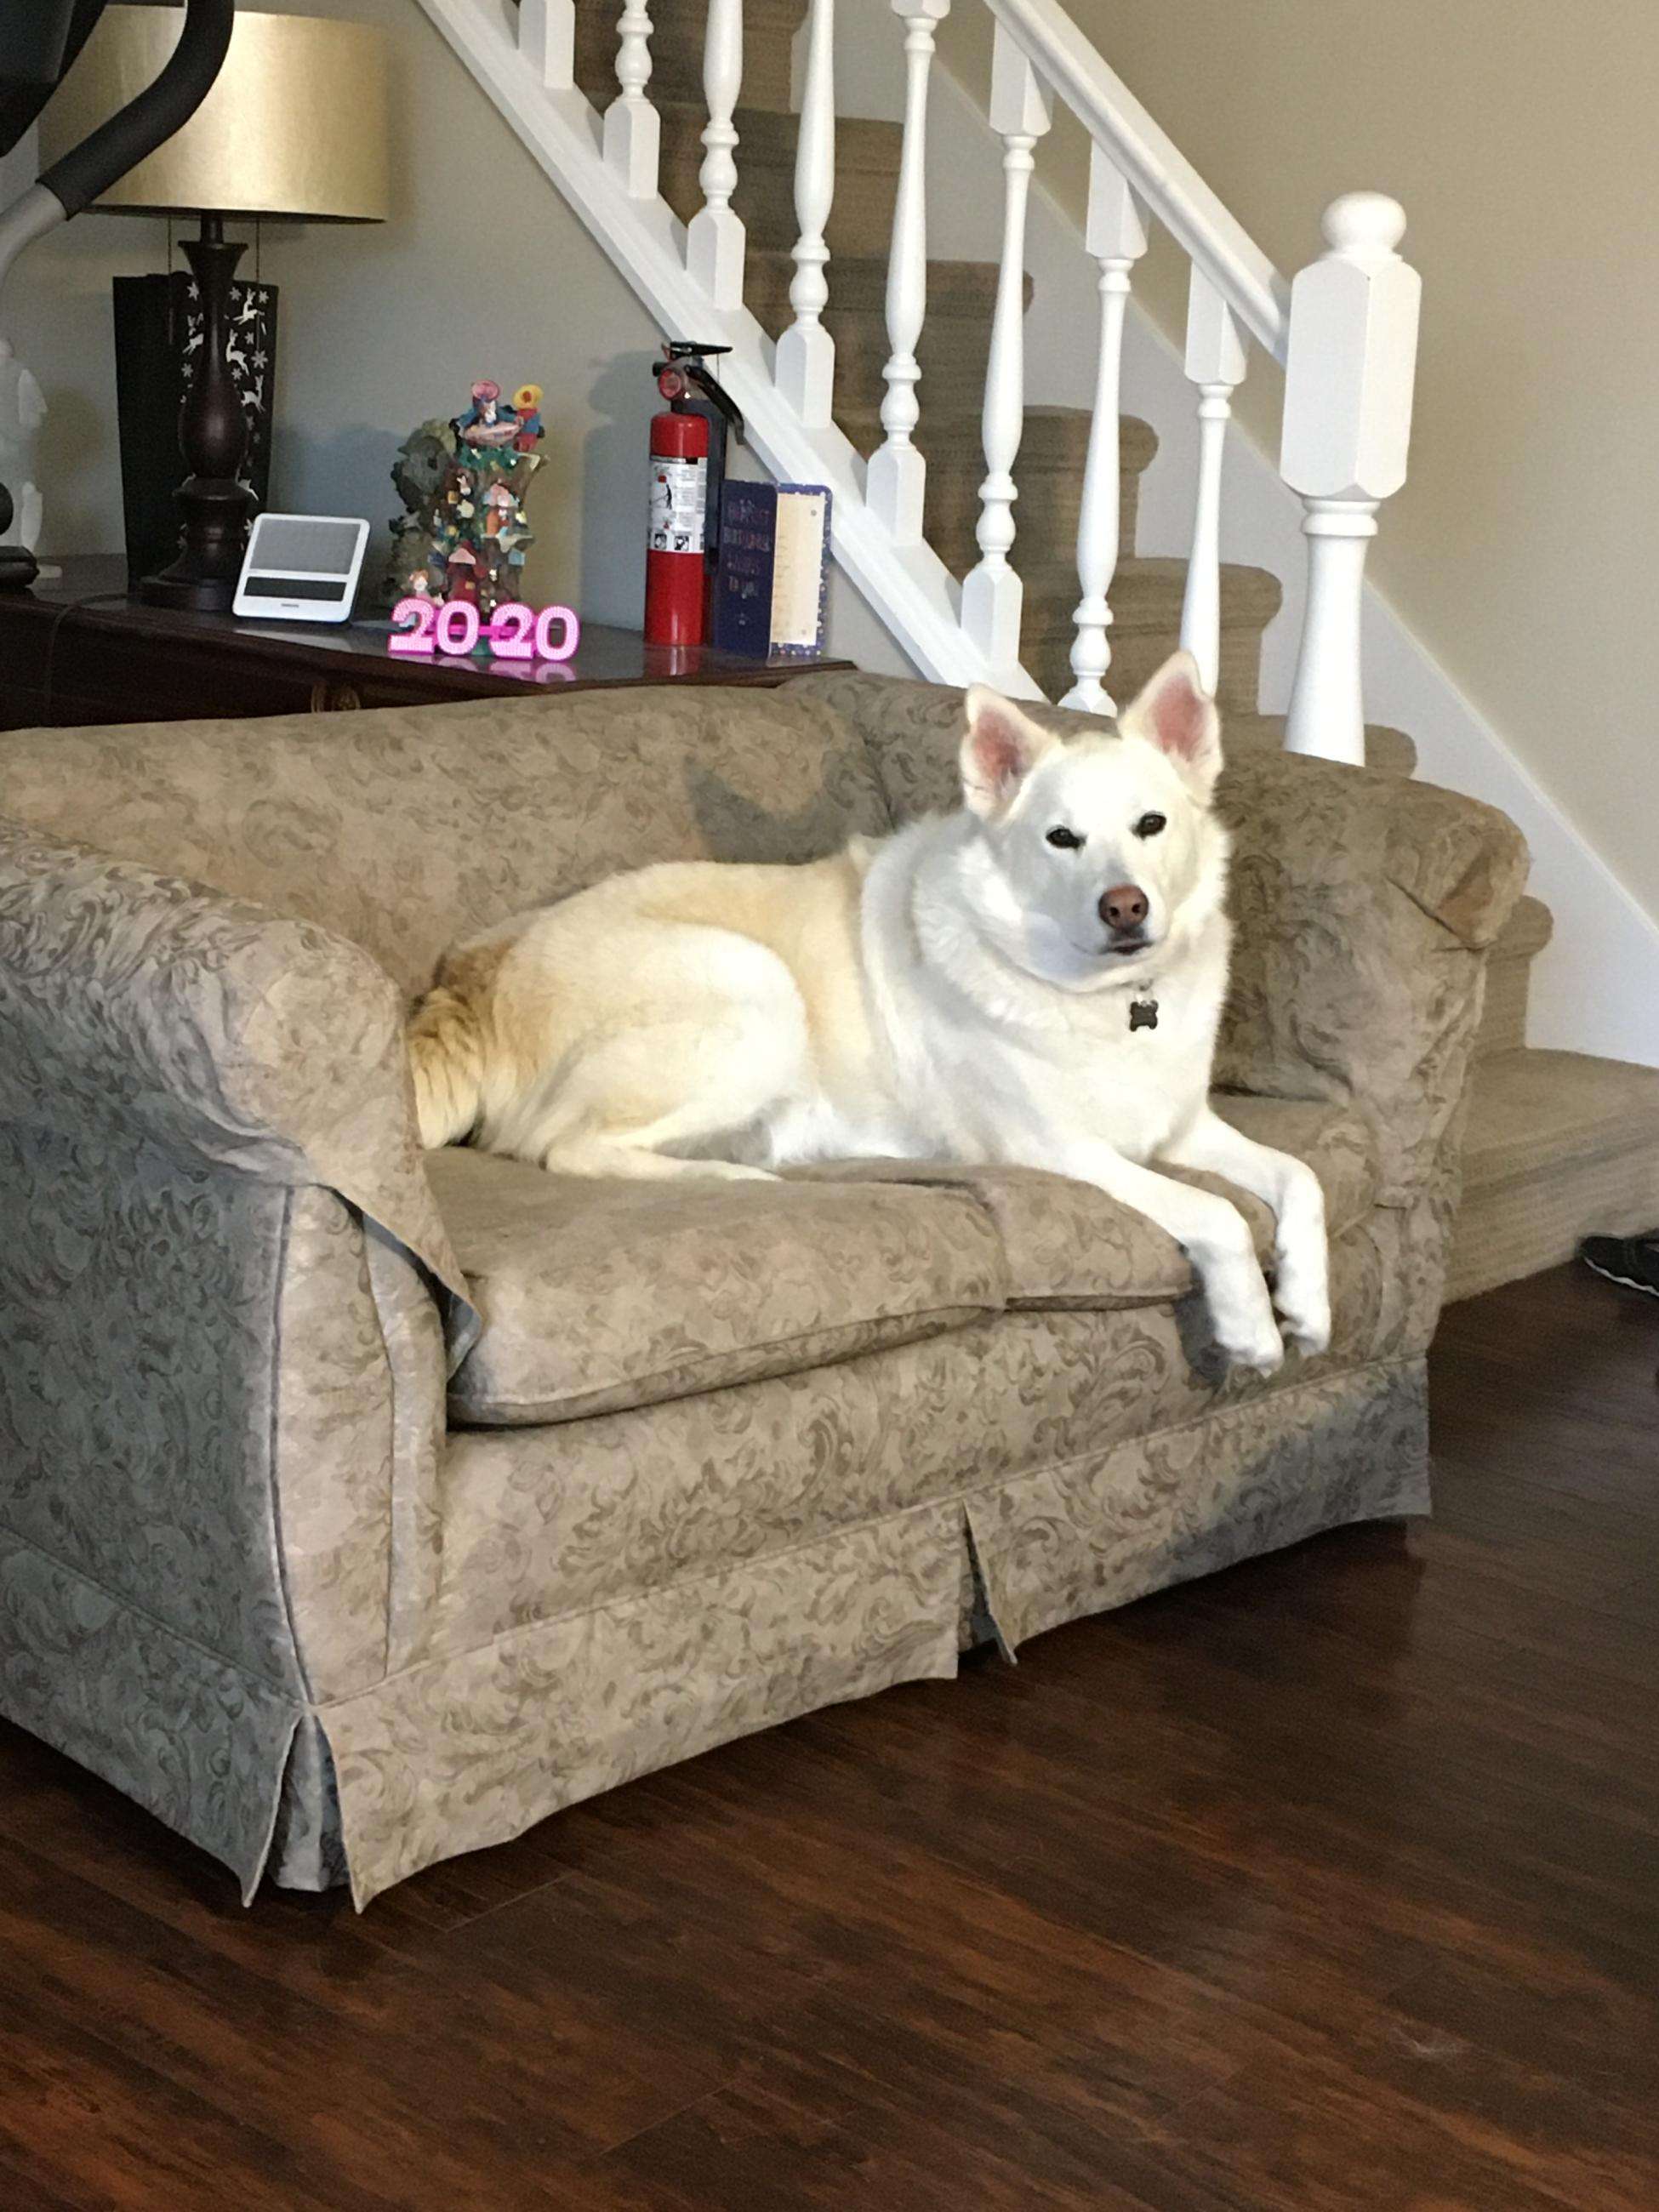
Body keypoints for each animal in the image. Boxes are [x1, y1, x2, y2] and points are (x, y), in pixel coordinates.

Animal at [415, 646, 1336, 1362]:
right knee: (568, 1148)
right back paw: (731, 1175)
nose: (1125, 907)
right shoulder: (1060, 1150)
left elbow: (1302, 1177)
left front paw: (1309, 1303)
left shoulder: (1182, 1129)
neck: (1102, 997)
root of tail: (479, 968)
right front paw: (1254, 1330)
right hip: (754, 987)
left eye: (1151, 824)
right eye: (1061, 839)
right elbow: (1218, 1211)